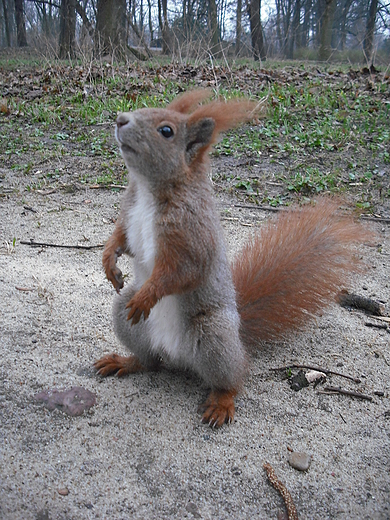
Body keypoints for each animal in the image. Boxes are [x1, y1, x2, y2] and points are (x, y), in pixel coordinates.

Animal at [94, 89, 366, 428]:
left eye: (166, 131)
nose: (120, 119)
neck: (148, 190)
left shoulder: (194, 236)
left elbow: (181, 271)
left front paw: (147, 295)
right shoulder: (130, 215)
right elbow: (120, 240)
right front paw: (109, 262)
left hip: (214, 335)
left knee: (233, 378)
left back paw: (222, 402)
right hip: (127, 319)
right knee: (150, 361)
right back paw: (126, 361)